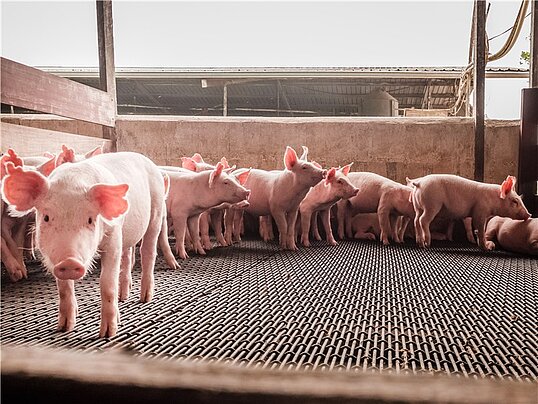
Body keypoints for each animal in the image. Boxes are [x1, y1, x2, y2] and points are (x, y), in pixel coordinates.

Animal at [0, 152, 176, 338]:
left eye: (90, 219)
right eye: (46, 217)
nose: (70, 262)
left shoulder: (113, 236)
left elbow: (107, 283)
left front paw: (108, 333)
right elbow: (63, 288)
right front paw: (64, 328)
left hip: (156, 212)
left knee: (147, 252)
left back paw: (145, 298)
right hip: (128, 231)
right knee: (127, 256)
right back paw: (123, 296)